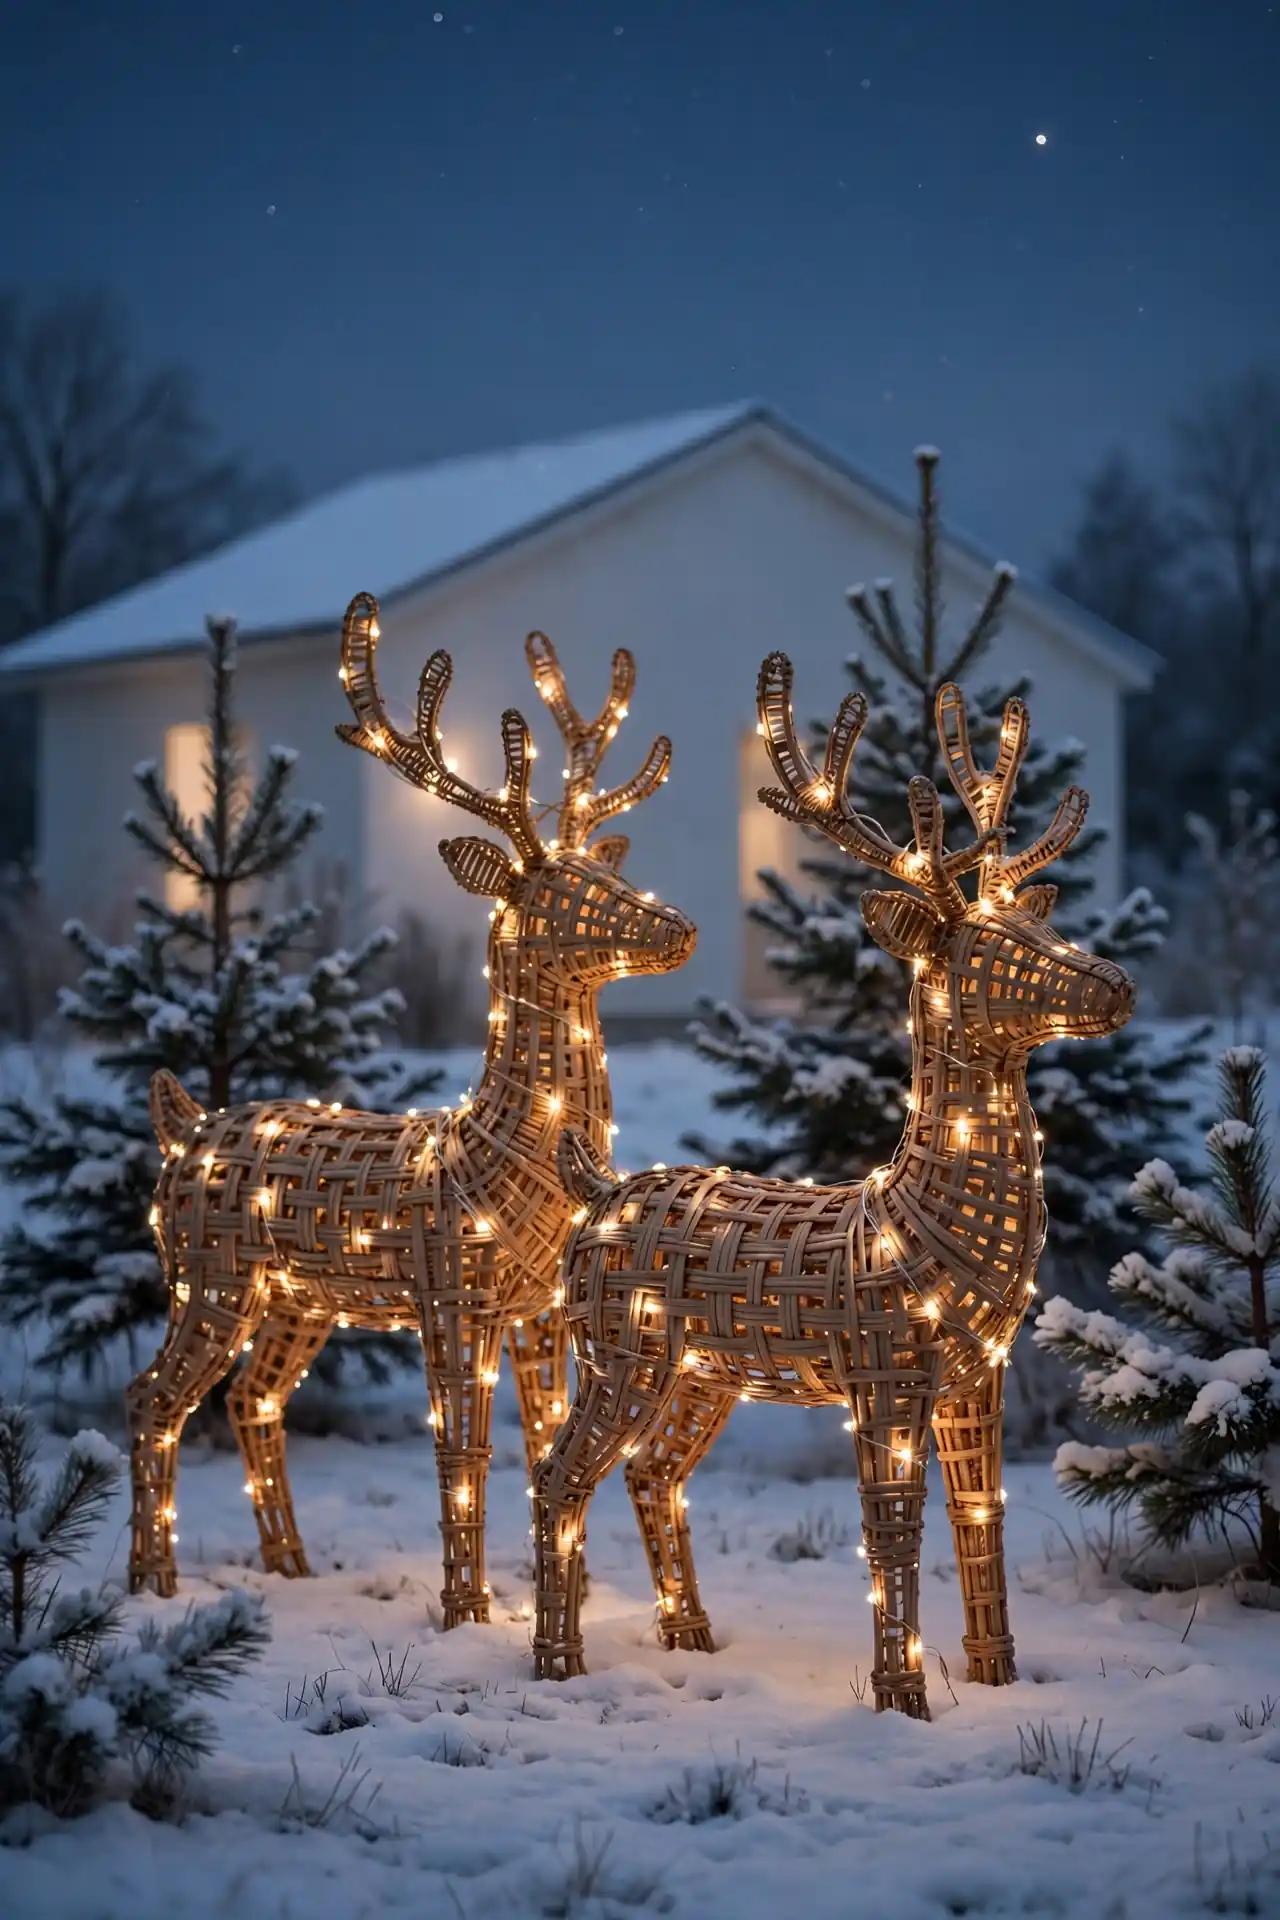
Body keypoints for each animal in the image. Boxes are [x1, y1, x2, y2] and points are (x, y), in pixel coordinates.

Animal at [125, 591, 696, 1622]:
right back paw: (153, 1579)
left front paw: (566, 1592)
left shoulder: (540, 1306)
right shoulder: (451, 1290)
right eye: (557, 888)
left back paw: (290, 1564)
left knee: (252, 1399)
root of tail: (183, 1127)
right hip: (207, 1274)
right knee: (152, 1398)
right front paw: (467, 1609)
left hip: (296, 1298)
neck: (500, 1155)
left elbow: (540, 1439)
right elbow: (459, 1447)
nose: (677, 926)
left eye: (609, 869)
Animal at [532, 652, 1134, 1717]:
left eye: (1036, 928)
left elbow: (983, 1513)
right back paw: (557, 1660)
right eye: (991, 949)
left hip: (702, 1374)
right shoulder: (884, 1366)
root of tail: (595, 1191)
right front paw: (903, 1697)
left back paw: (690, 1639)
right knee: (563, 1477)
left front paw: (999, 1675)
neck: (920, 1217)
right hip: (615, 1351)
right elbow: (891, 1523)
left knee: (652, 1473)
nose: (1115, 984)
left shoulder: (979, 1370)